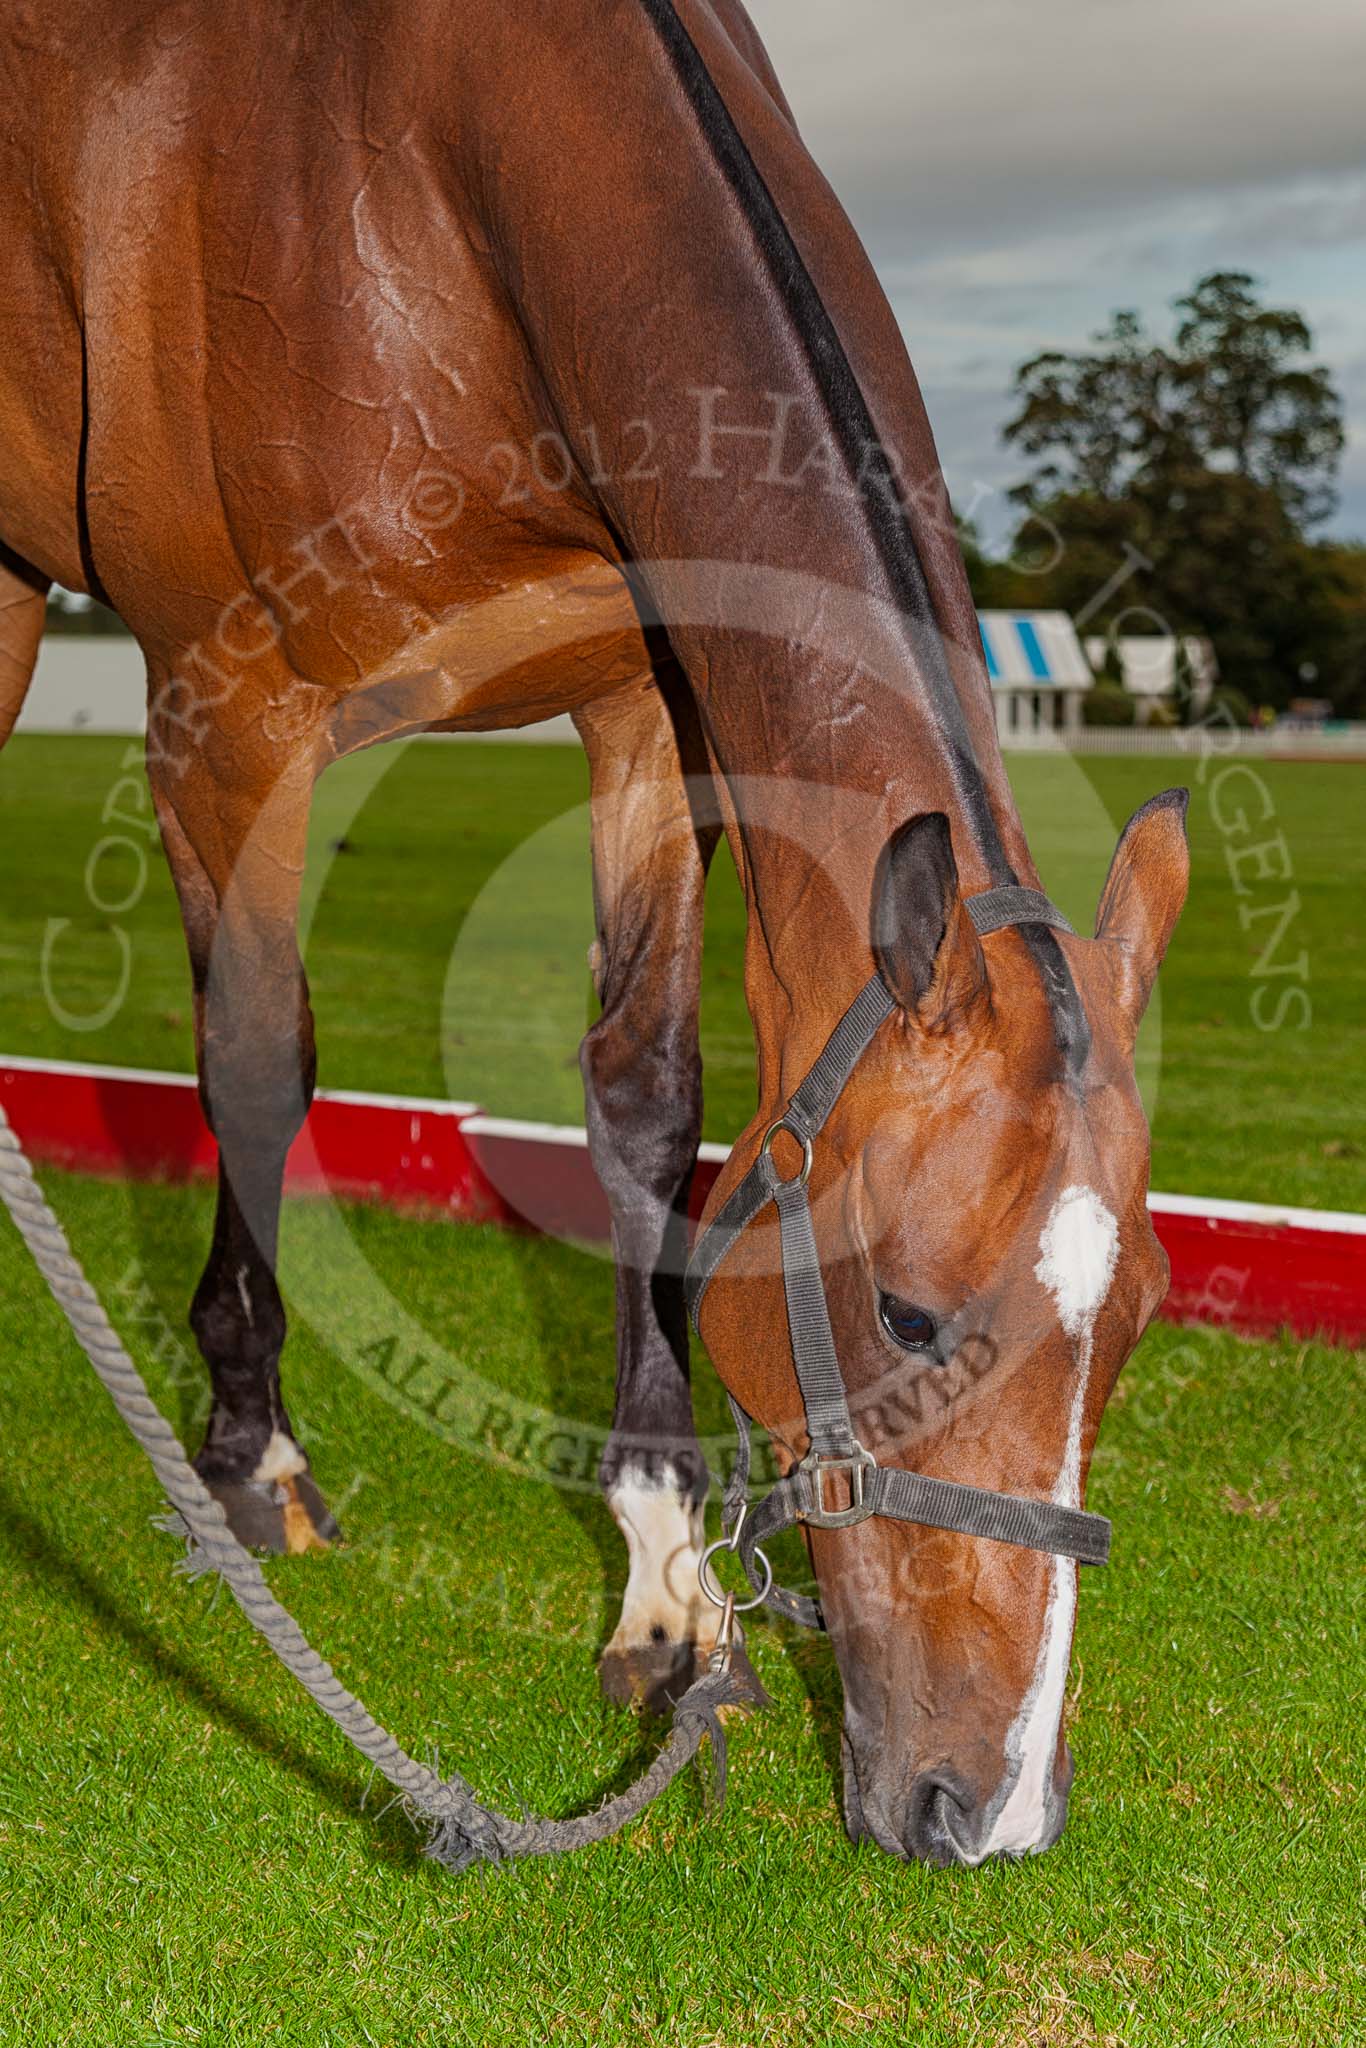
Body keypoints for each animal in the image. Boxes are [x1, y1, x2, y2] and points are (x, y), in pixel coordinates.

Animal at [0, 0, 1188, 1866]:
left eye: (1133, 1315)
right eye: (909, 1316)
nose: (986, 1809)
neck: (422, 162)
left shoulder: (651, 699)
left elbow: (643, 1102)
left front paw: (669, 1574)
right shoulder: (229, 718)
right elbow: (256, 1065)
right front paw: (252, 1447)